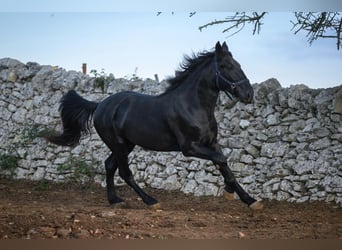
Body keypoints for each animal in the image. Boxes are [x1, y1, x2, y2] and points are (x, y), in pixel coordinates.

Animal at [47, 42, 262, 210]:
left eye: (238, 64)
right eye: (226, 66)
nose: (248, 94)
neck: (193, 106)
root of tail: (100, 105)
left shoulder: (211, 143)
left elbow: (224, 164)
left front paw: (250, 200)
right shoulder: (189, 148)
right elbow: (221, 160)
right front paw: (229, 191)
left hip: (126, 145)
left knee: (109, 165)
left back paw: (115, 200)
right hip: (118, 144)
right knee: (124, 172)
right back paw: (150, 201)